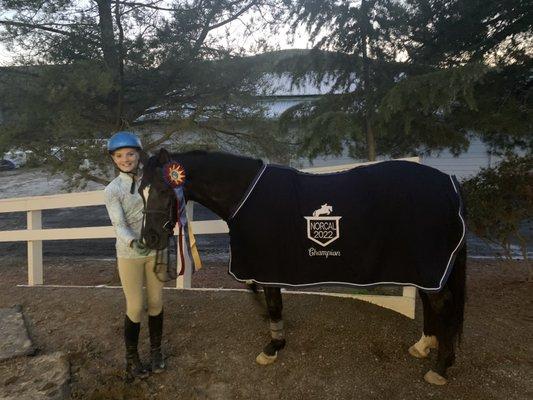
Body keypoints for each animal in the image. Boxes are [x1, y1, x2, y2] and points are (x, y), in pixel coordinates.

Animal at [140, 148, 466, 386]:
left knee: (441, 303)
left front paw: (273, 347)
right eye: (141, 191)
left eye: (163, 190)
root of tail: (449, 183)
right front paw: (274, 334)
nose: (149, 238)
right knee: (429, 300)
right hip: (421, 267)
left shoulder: (268, 265)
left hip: (426, 263)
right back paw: (424, 346)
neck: (243, 196)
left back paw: (440, 367)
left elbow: (273, 303)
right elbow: (263, 298)